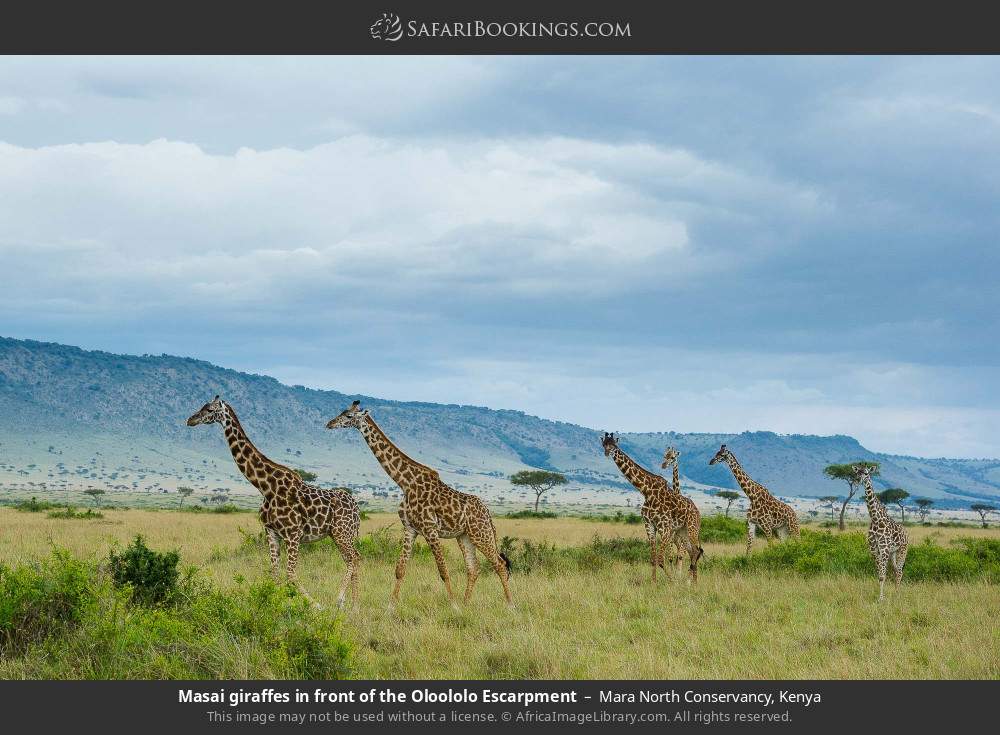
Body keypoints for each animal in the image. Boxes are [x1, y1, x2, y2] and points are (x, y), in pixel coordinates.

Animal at [186, 396, 360, 607]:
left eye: (210, 410)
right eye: (202, 407)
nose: (191, 420)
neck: (266, 487)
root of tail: (356, 508)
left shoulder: (293, 534)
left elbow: (290, 574)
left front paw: (316, 605)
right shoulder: (271, 532)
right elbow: (275, 574)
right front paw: (276, 605)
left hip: (342, 533)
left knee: (354, 559)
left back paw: (342, 600)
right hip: (339, 534)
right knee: (353, 558)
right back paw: (353, 606)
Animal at [326, 401, 512, 609]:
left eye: (349, 416)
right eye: (342, 412)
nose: (329, 424)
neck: (406, 482)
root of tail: (487, 512)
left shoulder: (430, 529)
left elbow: (443, 570)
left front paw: (453, 606)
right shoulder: (410, 529)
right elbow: (400, 569)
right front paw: (390, 607)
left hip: (481, 534)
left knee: (499, 564)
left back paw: (510, 605)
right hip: (465, 536)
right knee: (474, 568)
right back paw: (466, 604)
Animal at [601, 433, 703, 582]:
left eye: (614, 445)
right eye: (604, 444)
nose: (607, 452)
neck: (646, 491)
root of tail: (697, 511)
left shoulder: (665, 528)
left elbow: (661, 559)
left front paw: (672, 581)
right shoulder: (649, 526)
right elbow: (653, 559)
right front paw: (654, 582)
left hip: (692, 528)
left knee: (695, 551)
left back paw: (691, 582)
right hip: (682, 531)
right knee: (692, 552)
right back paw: (692, 582)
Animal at [852, 463, 908, 601]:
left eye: (866, 473)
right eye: (857, 473)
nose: (858, 480)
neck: (876, 520)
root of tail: (906, 533)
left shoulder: (884, 549)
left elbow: (882, 575)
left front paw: (881, 599)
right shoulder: (874, 550)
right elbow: (879, 575)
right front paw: (881, 596)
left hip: (902, 550)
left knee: (900, 571)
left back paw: (898, 594)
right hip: (893, 553)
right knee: (896, 570)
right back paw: (895, 592)